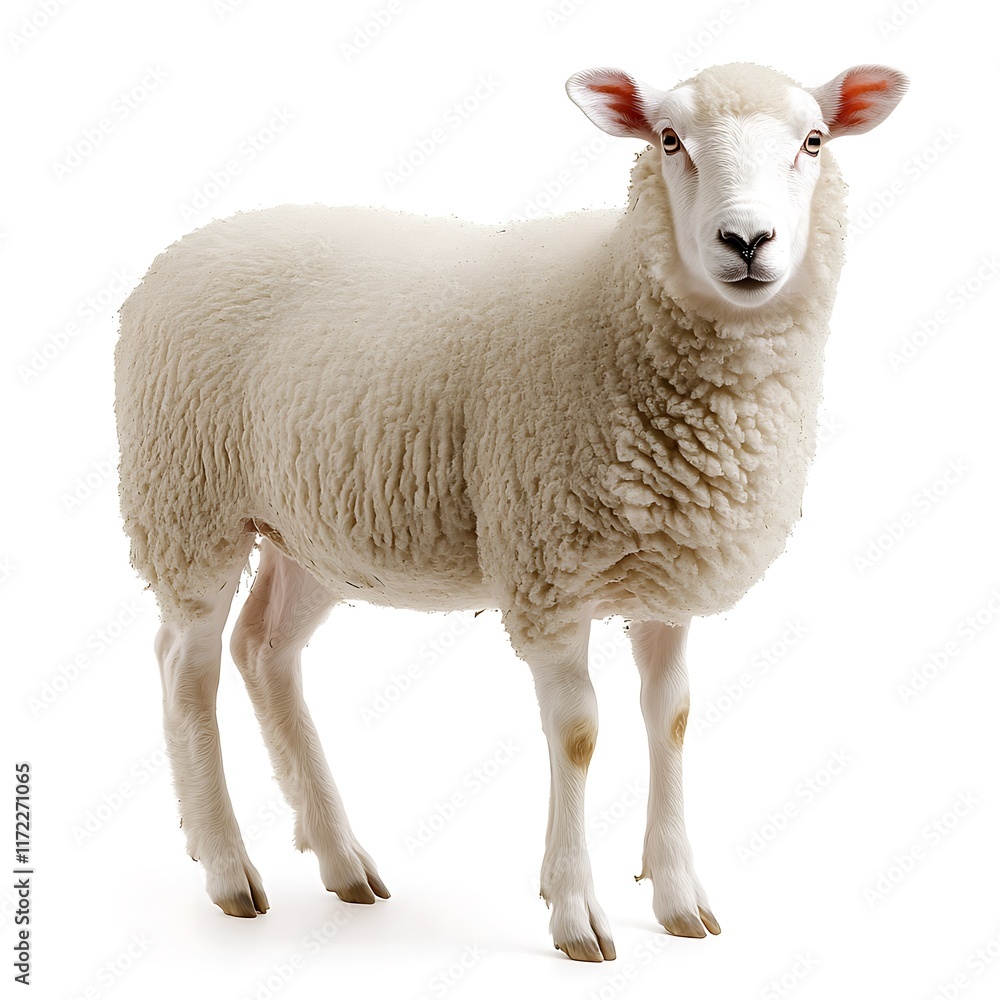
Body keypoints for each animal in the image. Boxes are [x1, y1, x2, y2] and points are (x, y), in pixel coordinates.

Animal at [115, 61, 907, 962]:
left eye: (813, 140)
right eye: (669, 140)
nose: (746, 242)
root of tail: (180, 251)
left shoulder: (668, 571)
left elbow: (669, 717)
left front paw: (678, 899)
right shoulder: (548, 569)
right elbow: (580, 732)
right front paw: (575, 912)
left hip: (312, 526)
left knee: (264, 650)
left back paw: (343, 860)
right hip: (188, 504)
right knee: (189, 666)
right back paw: (227, 869)